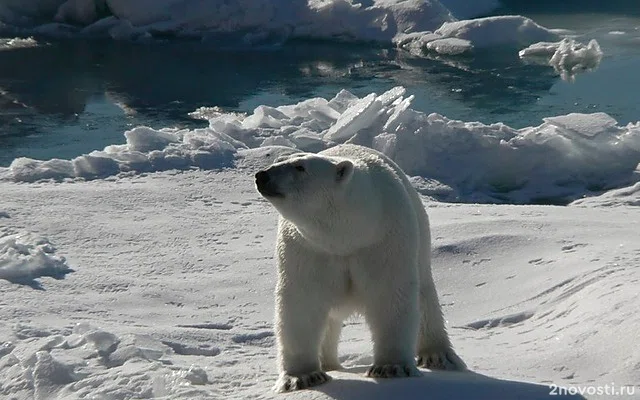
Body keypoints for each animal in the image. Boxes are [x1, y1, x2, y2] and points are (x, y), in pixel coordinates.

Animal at [254, 143, 464, 390]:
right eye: (279, 160)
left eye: (300, 167)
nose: (262, 175)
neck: (349, 234)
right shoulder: (308, 248)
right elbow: (302, 301)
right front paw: (302, 377)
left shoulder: (383, 240)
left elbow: (389, 294)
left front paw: (390, 367)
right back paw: (328, 364)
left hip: (420, 240)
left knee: (425, 297)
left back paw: (438, 355)